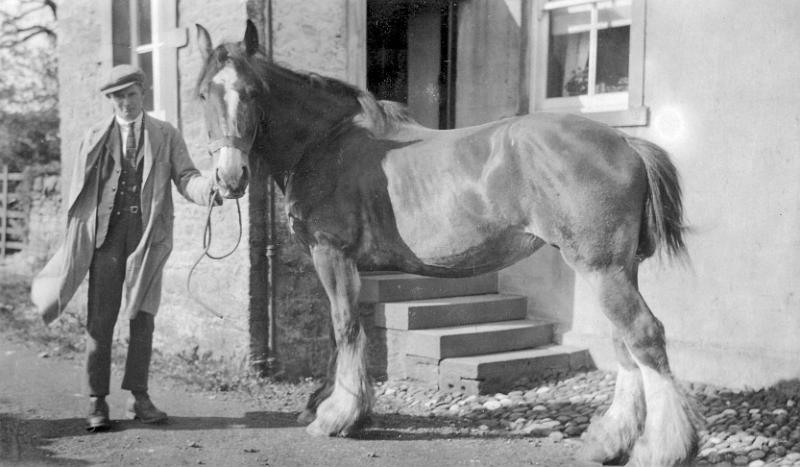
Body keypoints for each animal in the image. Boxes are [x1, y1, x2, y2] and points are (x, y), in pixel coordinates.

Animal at [194, 20, 700, 466]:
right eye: (202, 94)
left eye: (253, 93)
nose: (230, 178)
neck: (324, 143)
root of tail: (626, 143)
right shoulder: (340, 261)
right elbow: (341, 330)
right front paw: (329, 404)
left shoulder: (331, 253)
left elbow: (344, 327)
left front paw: (337, 415)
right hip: (612, 268)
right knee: (624, 343)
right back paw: (610, 442)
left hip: (602, 268)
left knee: (643, 336)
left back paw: (662, 449)